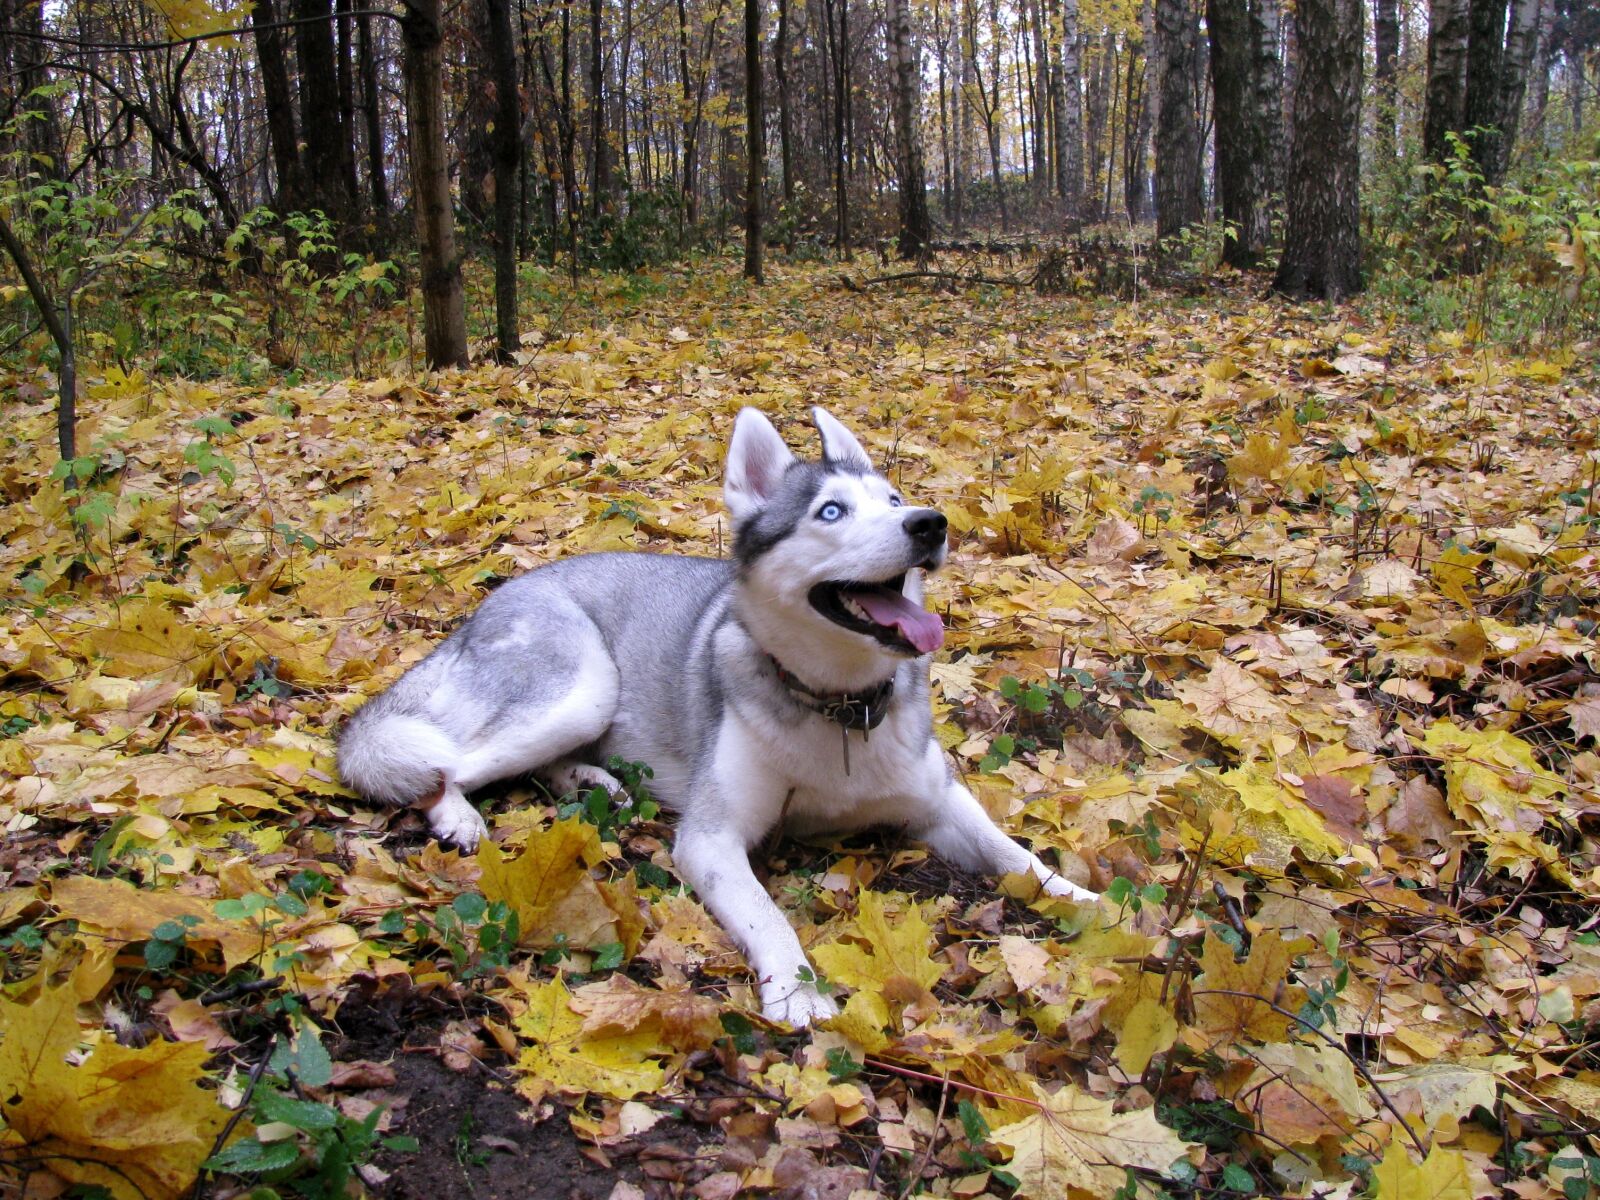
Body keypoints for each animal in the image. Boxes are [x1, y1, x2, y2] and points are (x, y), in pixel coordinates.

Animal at [337, 412, 1100, 1024]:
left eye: (894, 500)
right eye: (830, 512)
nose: (929, 522)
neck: (839, 705)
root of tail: (492, 600)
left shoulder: (938, 800)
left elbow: (1015, 853)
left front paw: (1085, 900)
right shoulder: (710, 839)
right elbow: (769, 916)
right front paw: (798, 991)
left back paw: (592, 782)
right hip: (584, 687)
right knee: (447, 766)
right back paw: (460, 816)